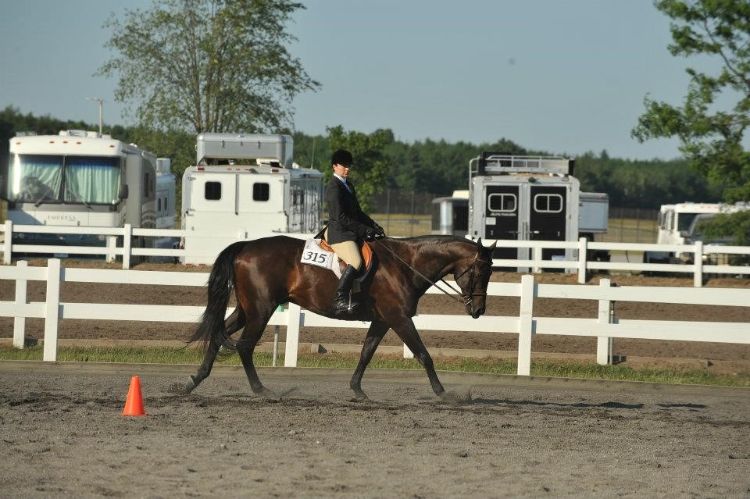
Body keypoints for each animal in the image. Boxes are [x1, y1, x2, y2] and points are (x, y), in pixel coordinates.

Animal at [178, 235, 496, 402]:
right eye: (482, 271)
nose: (478, 310)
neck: (405, 265)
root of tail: (246, 246)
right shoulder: (399, 317)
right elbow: (423, 354)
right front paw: (443, 393)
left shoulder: (383, 320)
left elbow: (366, 353)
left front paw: (357, 390)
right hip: (261, 309)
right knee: (244, 346)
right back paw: (261, 390)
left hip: (247, 309)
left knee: (218, 336)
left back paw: (191, 382)